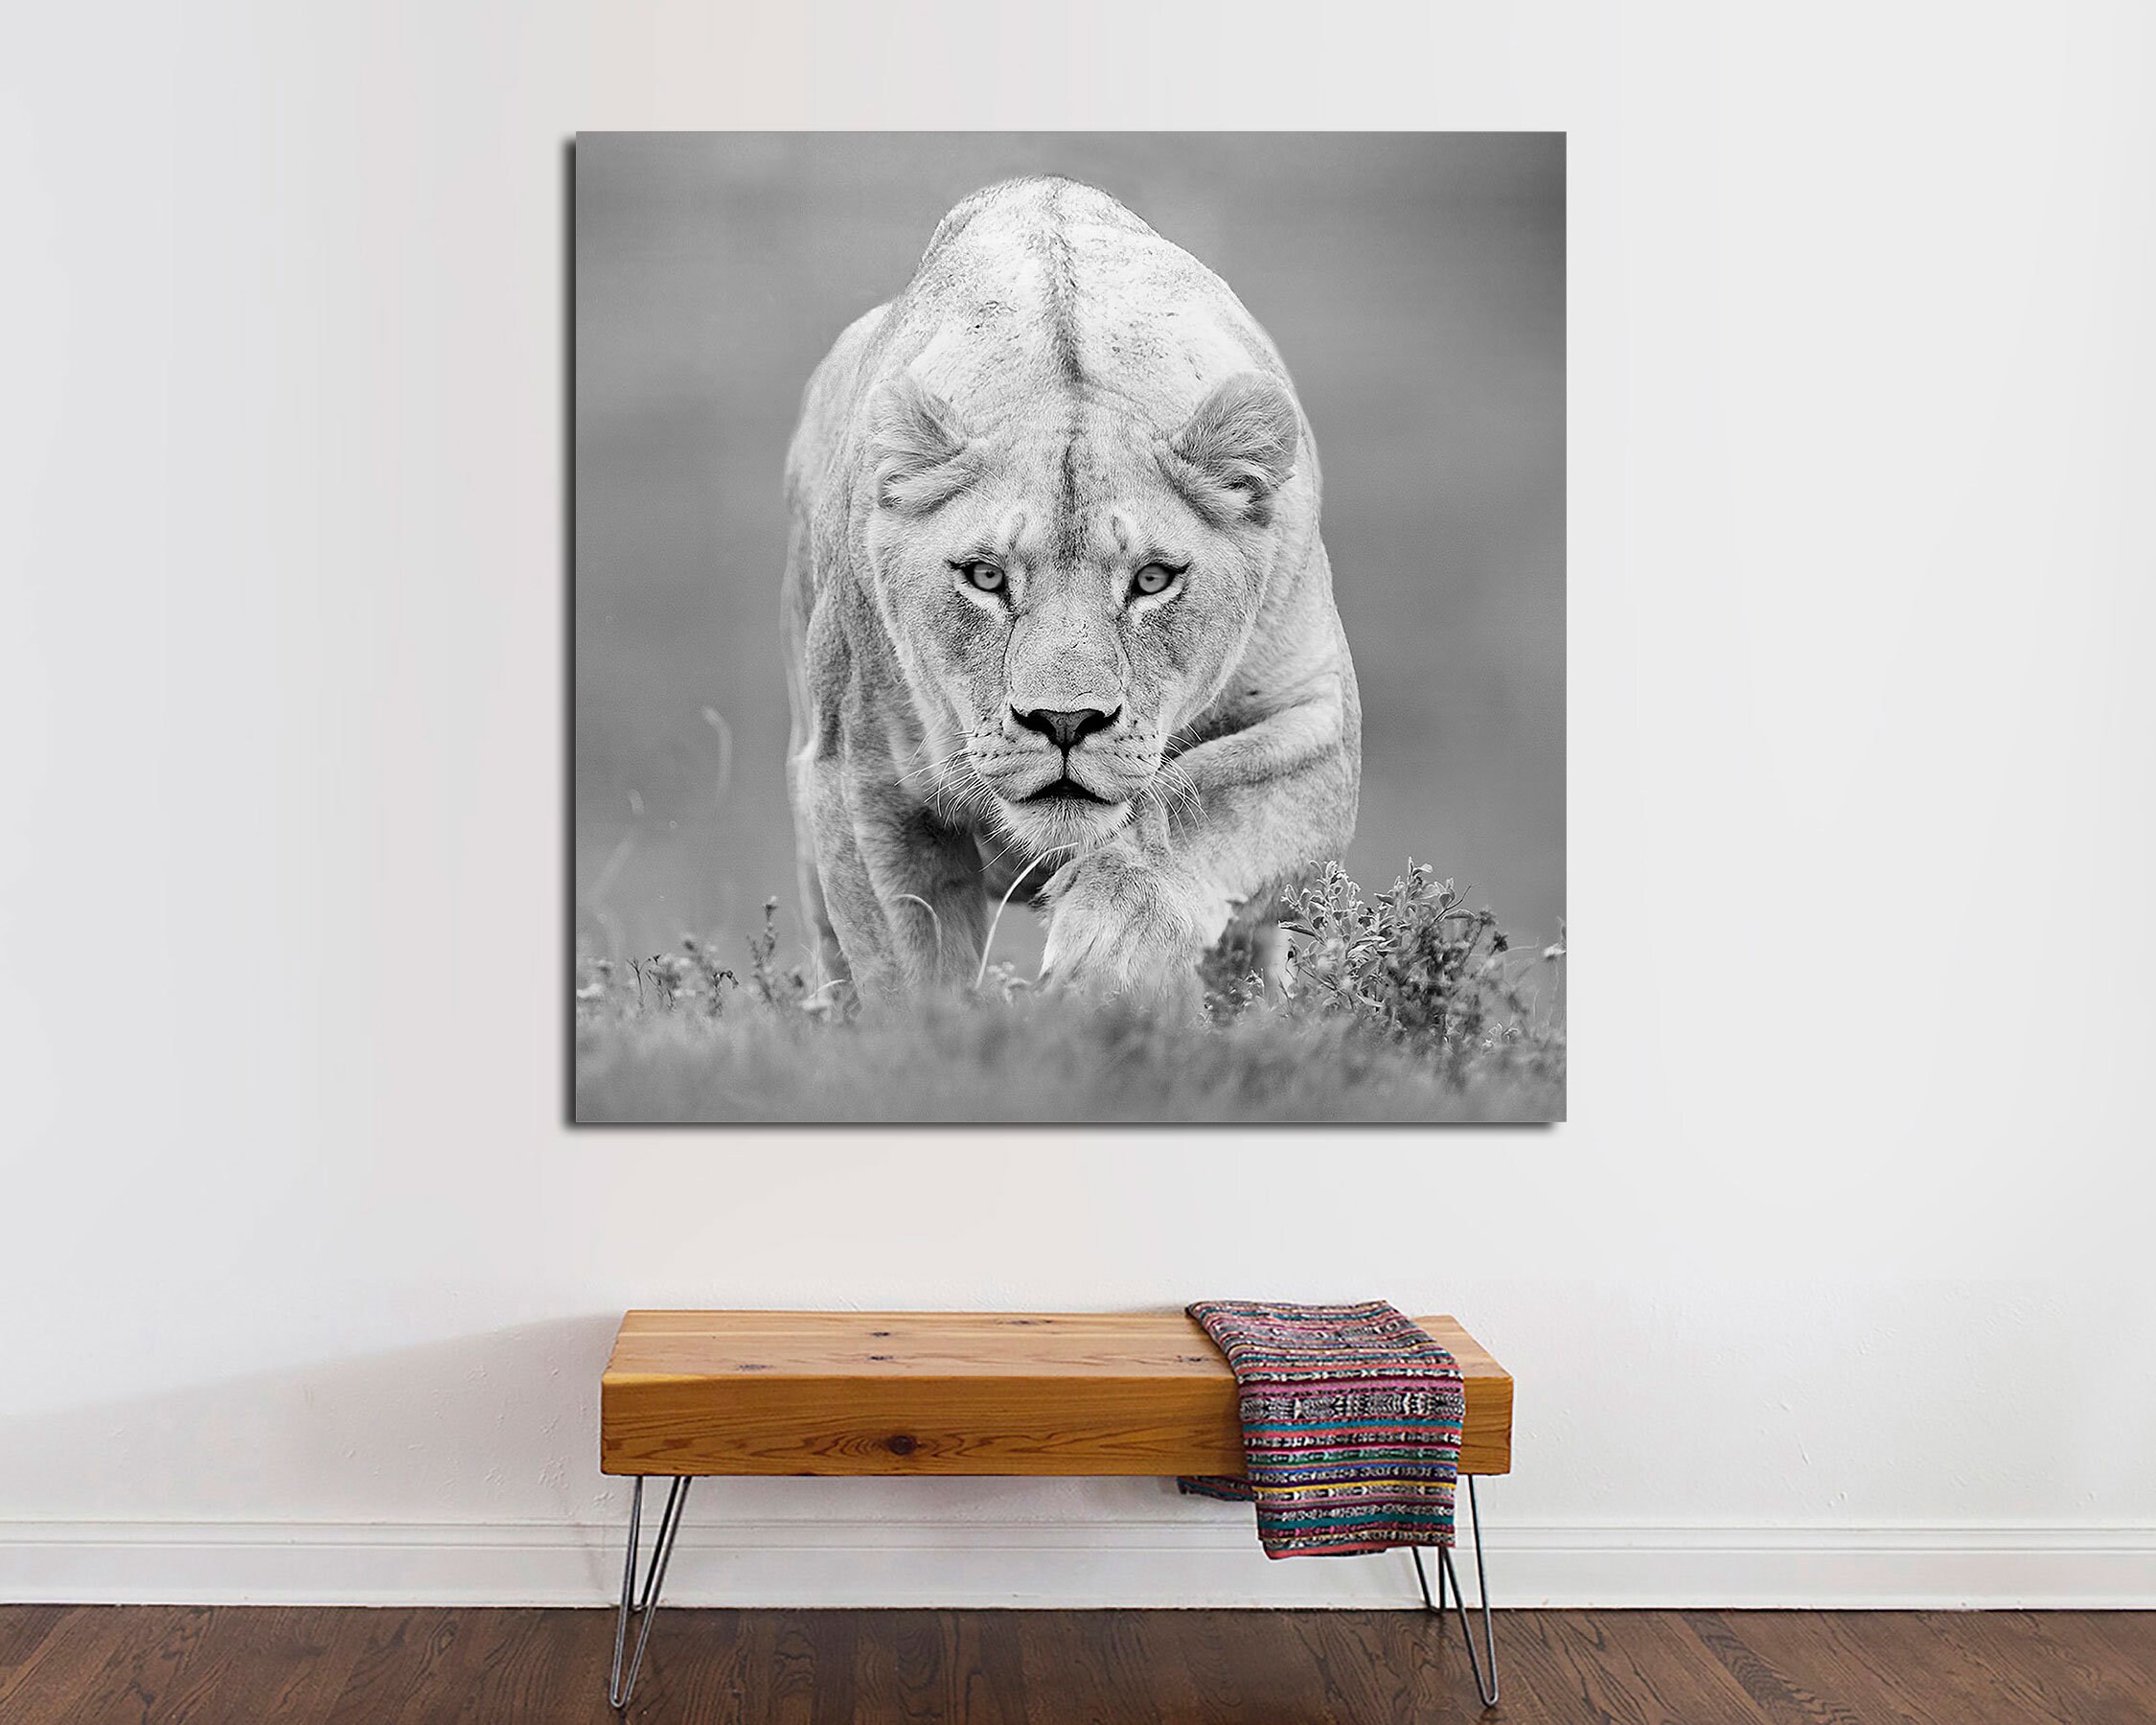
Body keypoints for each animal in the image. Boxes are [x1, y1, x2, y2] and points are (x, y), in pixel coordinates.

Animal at [781, 176, 1360, 1011]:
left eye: (1152, 579)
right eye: (986, 576)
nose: (1063, 722)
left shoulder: (1318, 726)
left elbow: (1191, 802)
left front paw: (1106, 956)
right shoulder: (859, 779)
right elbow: (909, 975)